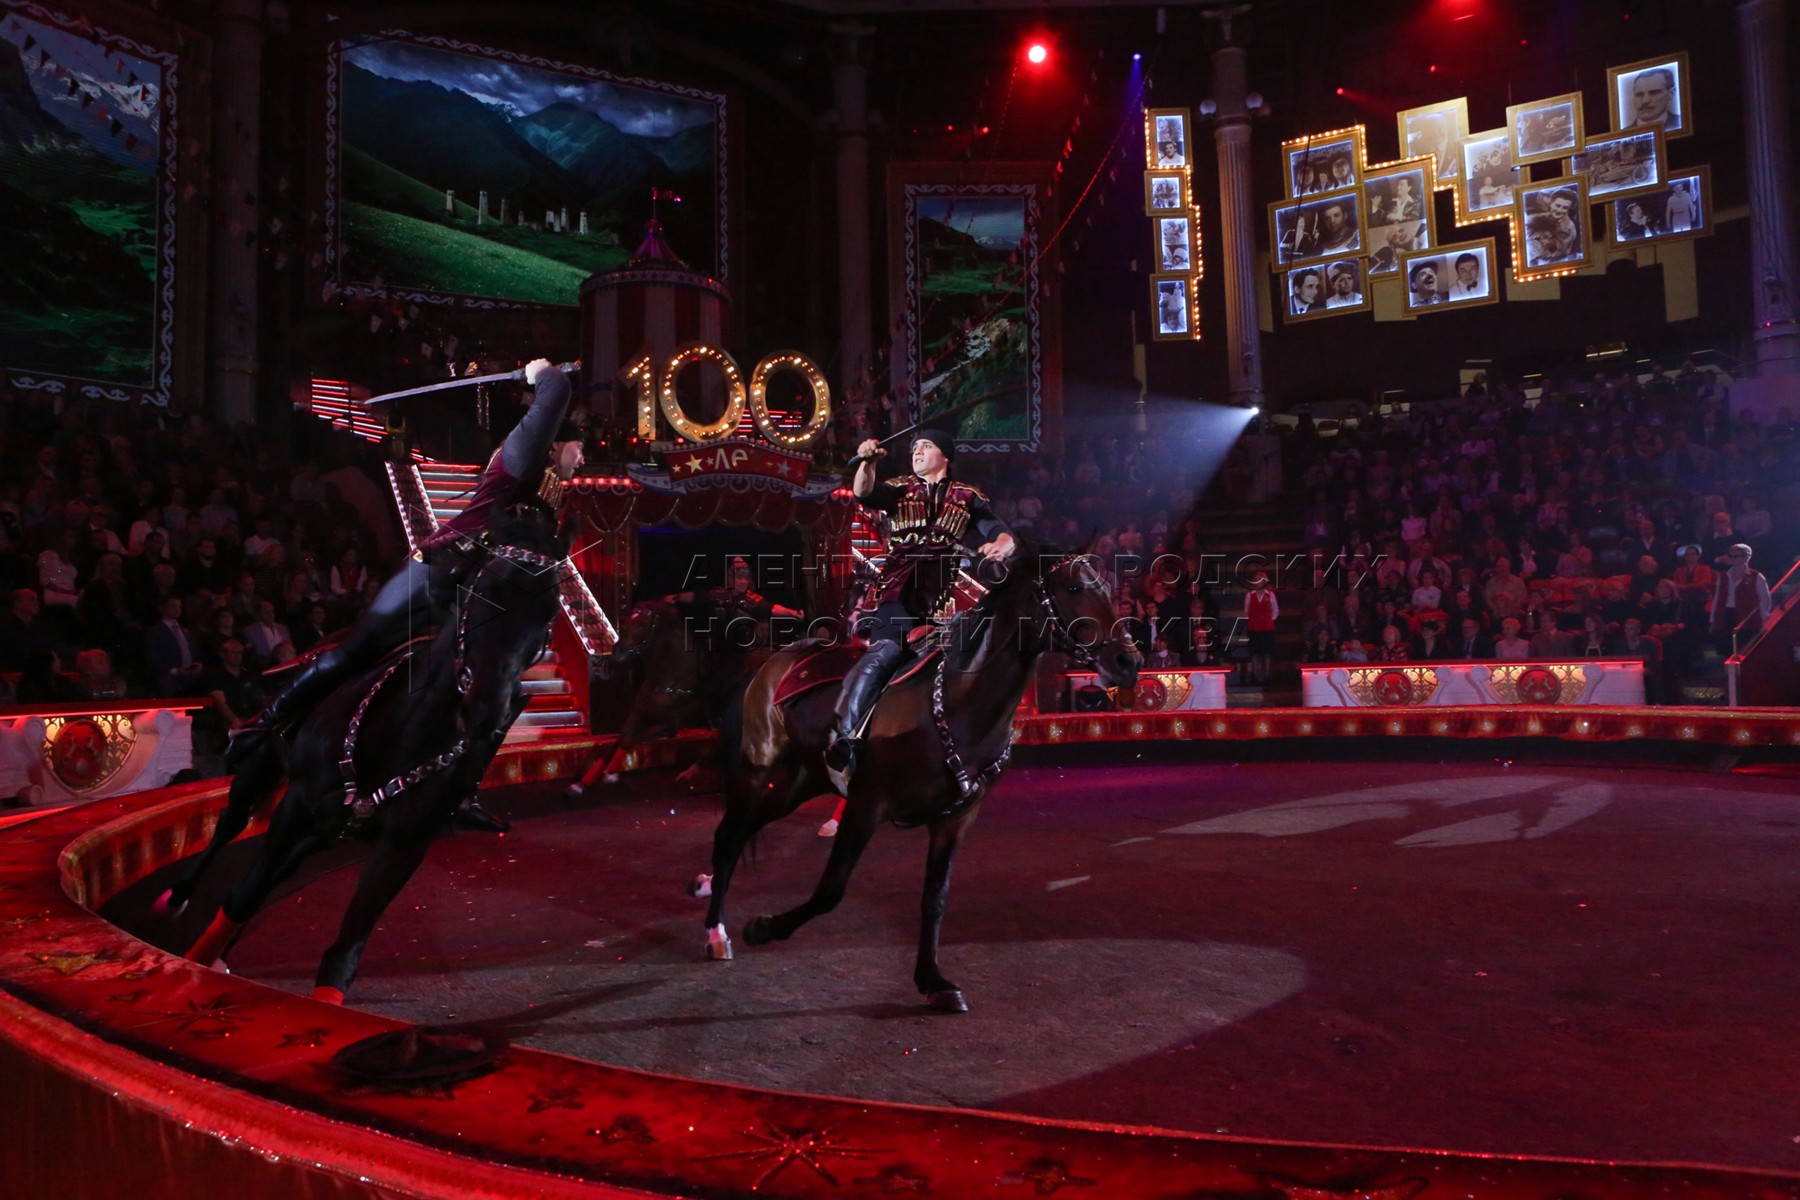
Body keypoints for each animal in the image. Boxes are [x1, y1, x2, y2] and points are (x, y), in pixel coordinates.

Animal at [174, 513, 568, 1003]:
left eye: (549, 614)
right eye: (483, 592)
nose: (485, 708)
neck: (406, 732)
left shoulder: (403, 844)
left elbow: (345, 951)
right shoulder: (296, 806)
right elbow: (242, 896)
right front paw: (196, 961)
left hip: (325, 831)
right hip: (262, 773)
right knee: (230, 824)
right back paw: (180, 896)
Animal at [693, 548, 1139, 1012]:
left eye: (1105, 587)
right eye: (1072, 587)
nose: (1128, 661)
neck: (956, 706)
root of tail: (775, 663)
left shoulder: (956, 818)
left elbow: (934, 898)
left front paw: (932, 980)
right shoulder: (867, 804)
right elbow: (830, 890)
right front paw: (762, 928)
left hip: (801, 781)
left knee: (745, 829)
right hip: (759, 767)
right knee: (729, 836)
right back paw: (716, 932)